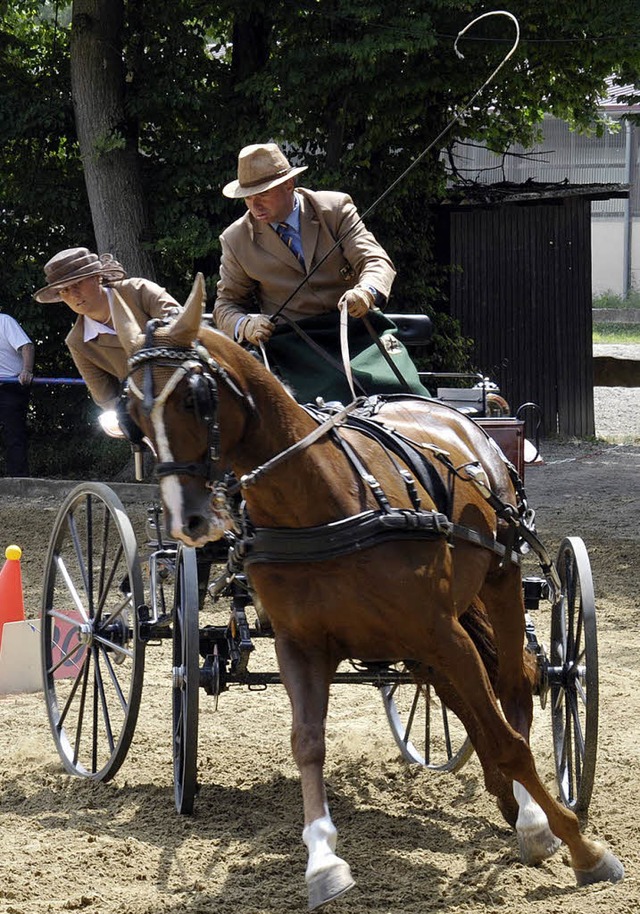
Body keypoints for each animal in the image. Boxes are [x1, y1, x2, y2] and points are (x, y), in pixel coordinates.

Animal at [111, 276, 624, 904]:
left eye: (195, 399)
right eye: (133, 414)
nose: (187, 519)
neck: (318, 503)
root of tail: (452, 413)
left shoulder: (439, 630)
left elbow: (508, 737)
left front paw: (583, 849)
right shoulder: (302, 644)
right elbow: (307, 742)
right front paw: (323, 861)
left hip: (497, 583)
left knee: (514, 689)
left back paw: (531, 817)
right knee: (458, 695)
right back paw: (508, 800)